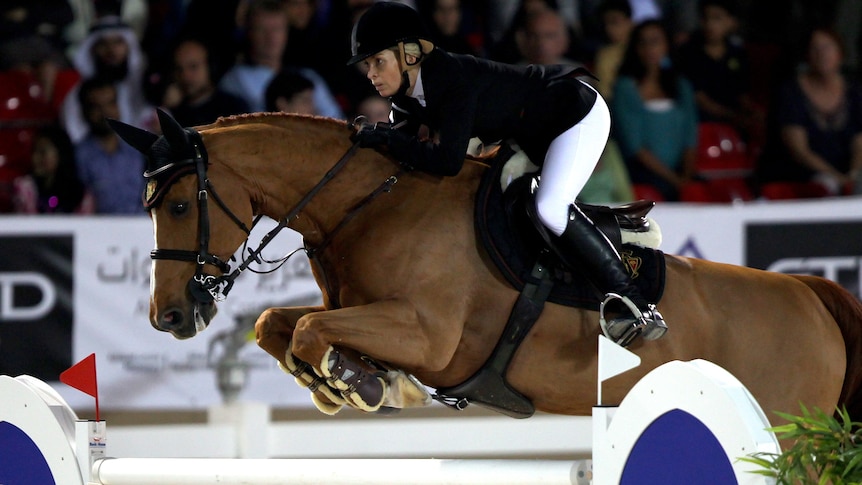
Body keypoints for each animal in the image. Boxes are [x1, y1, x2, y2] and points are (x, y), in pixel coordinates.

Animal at [109, 110, 862, 434]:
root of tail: (810, 292)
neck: (368, 203)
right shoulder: (362, 311)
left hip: (788, 431)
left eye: (180, 204)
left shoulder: (429, 334)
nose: (169, 316)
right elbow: (279, 323)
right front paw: (346, 380)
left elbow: (306, 331)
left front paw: (358, 382)